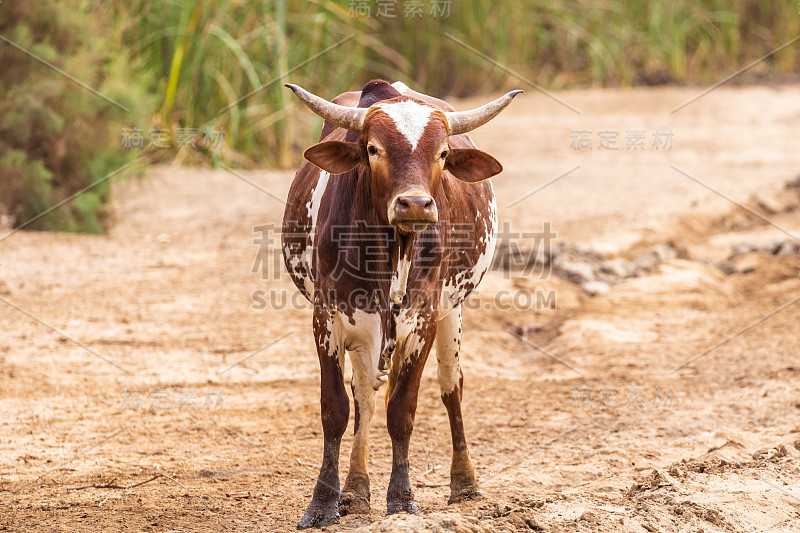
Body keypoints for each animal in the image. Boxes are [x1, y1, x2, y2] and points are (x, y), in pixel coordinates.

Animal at [282, 79, 520, 528]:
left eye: (442, 153)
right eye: (373, 148)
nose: (415, 204)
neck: (391, 253)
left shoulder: (422, 320)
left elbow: (403, 411)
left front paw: (402, 499)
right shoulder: (327, 318)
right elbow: (336, 409)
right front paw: (323, 503)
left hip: (450, 312)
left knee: (450, 384)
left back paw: (465, 483)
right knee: (365, 394)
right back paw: (355, 490)